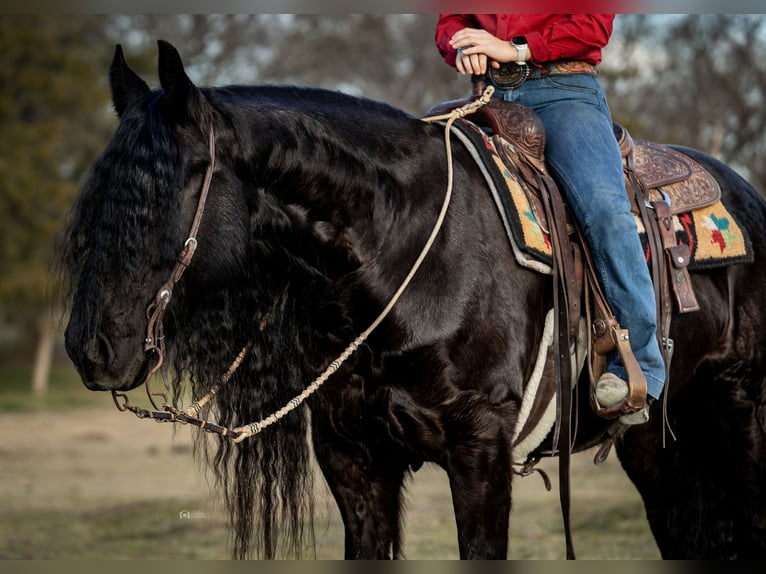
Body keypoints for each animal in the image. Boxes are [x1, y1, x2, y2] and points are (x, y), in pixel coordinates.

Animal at [58, 41, 766, 564]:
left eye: (161, 192)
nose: (89, 349)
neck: (402, 248)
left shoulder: (480, 450)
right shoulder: (351, 458)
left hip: (739, 405)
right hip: (654, 439)